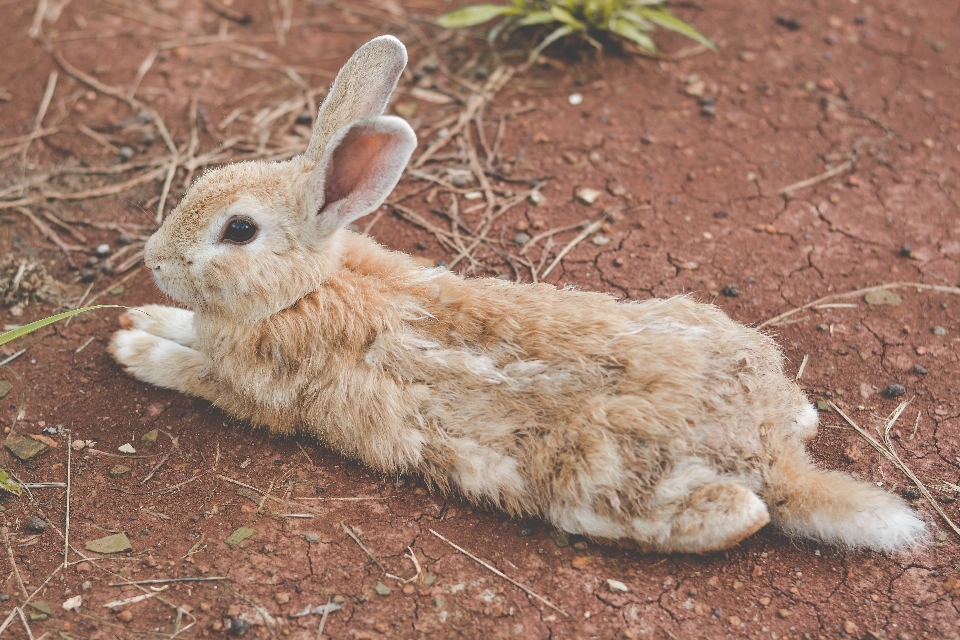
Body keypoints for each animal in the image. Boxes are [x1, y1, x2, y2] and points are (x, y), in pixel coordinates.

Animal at [109, 36, 928, 556]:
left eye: (239, 230)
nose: (154, 259)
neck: (305, 287)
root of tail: (770, 454)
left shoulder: (252, 391)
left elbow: (189, 370)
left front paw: (131, 344)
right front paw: (145, 315)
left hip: (604, 490)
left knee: (741, 515)